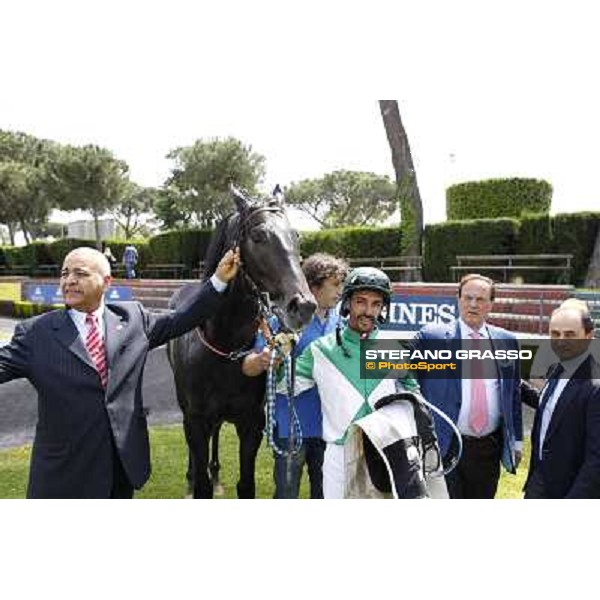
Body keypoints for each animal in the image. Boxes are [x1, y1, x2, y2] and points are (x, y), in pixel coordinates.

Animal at [164, 188, 314, 496]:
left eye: (296, 236)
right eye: (257, 236)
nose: (303, 306)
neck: (225, 348)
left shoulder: (251, 424)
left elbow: (246, 485)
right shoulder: (195, 421)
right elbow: (202, 486)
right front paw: (197, 480)